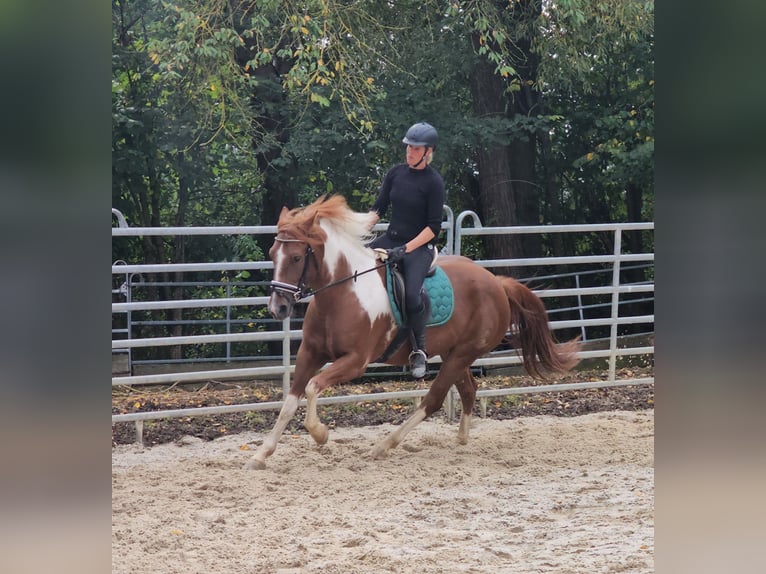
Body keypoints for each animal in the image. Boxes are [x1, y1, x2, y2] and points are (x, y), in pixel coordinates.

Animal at [246, 196, 584, 470]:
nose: (278, 308)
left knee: (433, 400)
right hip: (454, 353)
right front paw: (261, 455)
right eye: (273, 252)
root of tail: (497, 283)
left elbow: (313, 387)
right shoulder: (311, 353)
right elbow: (290, 401)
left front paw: (320, 433)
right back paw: (461, 439)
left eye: (296, 257)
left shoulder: (355, 362)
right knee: (468, 390)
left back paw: (384, 446)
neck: (344, 292)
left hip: (462, 354)